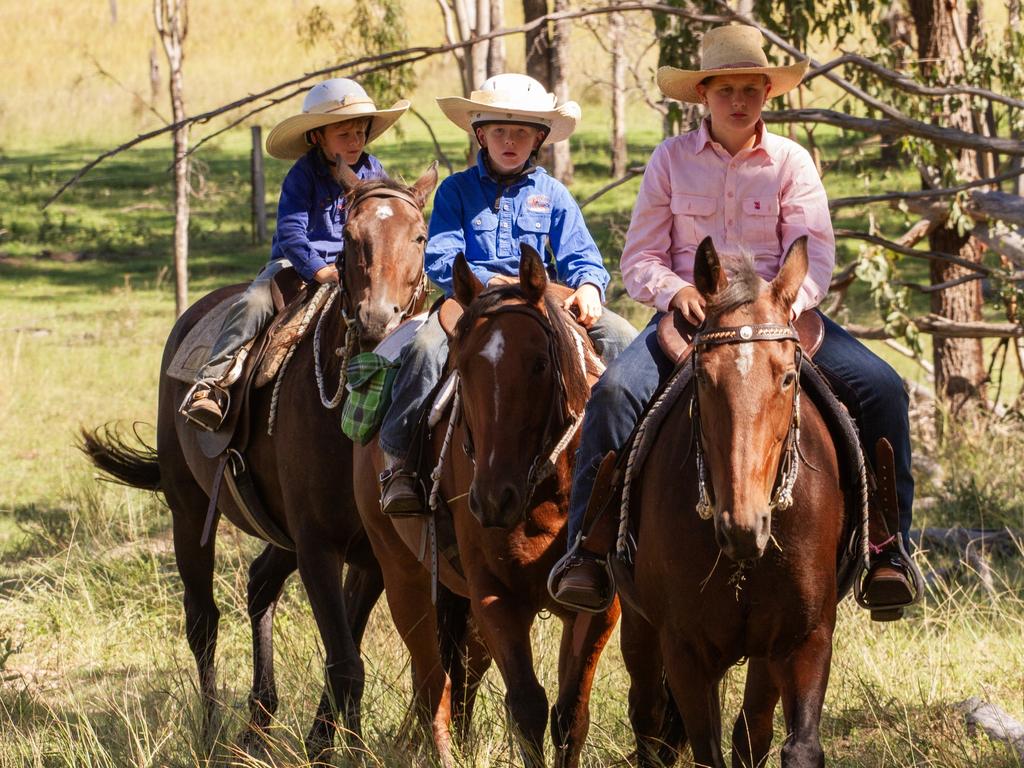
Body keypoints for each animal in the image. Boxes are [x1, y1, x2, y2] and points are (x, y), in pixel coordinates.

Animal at [76, 163, 436, 765]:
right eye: (349, 239)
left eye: (420, 237)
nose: (376, 320)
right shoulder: (317, 545)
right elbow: (346, 663)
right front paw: (335, 748)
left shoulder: (368, 554)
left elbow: (347, 653)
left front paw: (329, 741)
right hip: (188, 509)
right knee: (202, 620)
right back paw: (211, 731)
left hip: (276, 530)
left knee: (260, 584)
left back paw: (258, 722)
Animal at [352, 249, 618, 765]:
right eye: (463, 364)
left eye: (540, 363)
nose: (494, 498)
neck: (549, 489)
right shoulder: (495, 593)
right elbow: (529, 707)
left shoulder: (597, 606)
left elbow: (571, 716)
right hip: (403, 575)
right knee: (433, 679)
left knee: (461, 674)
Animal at [622, 237, 847, 765]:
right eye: (704, 378)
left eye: (787, 378)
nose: (744, 527)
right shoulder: (684, 651)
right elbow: (706, 748)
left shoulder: (806, 639)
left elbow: (796, 746)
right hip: (637, 628)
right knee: (648, 720)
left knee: (751, 730)